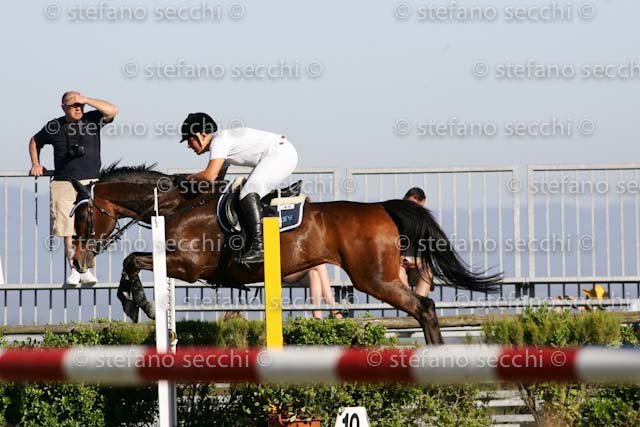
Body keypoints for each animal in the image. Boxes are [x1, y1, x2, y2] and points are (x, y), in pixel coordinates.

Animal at [69, 164, 501, 345]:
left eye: (84, 216)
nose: (77, 261)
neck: (178, 205)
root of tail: (381, 207)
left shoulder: (188, 266)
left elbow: (132, 262)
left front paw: (138, 303)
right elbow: (132, 263)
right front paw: (134, 303)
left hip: (374, 278)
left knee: (424, 307)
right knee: (425, 307)